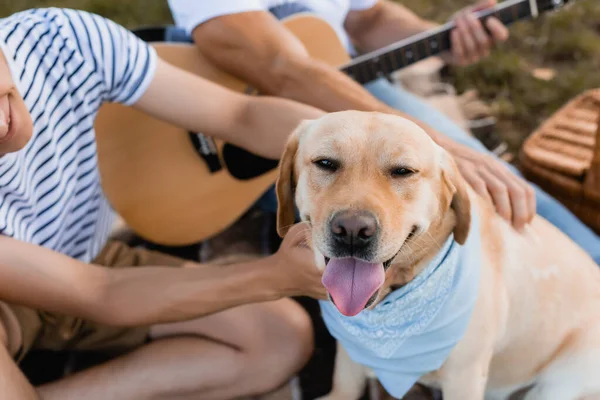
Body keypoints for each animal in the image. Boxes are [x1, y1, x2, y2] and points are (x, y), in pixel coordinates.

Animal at [276, 111, 600, 400]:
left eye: (403, 171)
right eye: (325, 163)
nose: (353, 231)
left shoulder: (464, 379)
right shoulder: (349, 354)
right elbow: (346, 387)